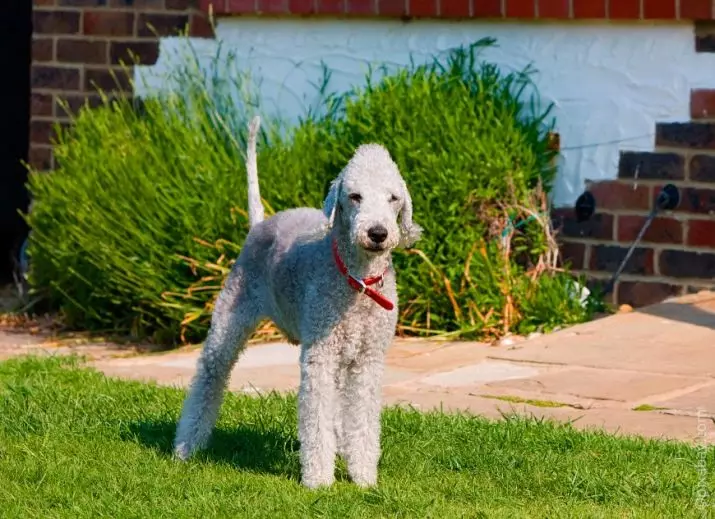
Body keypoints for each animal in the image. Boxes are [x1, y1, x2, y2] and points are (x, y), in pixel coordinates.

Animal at [173, 116, 420, 490]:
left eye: (393, 198)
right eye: (355, 196)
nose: (377, 233)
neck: (357, 281)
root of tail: (261, 223)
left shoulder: (367, 359)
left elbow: (362, 419)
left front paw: (364, 477)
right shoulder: (320, 354)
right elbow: (315, 418)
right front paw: (319, 480)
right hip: (231, 317)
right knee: (210, 375)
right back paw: (187, 446)